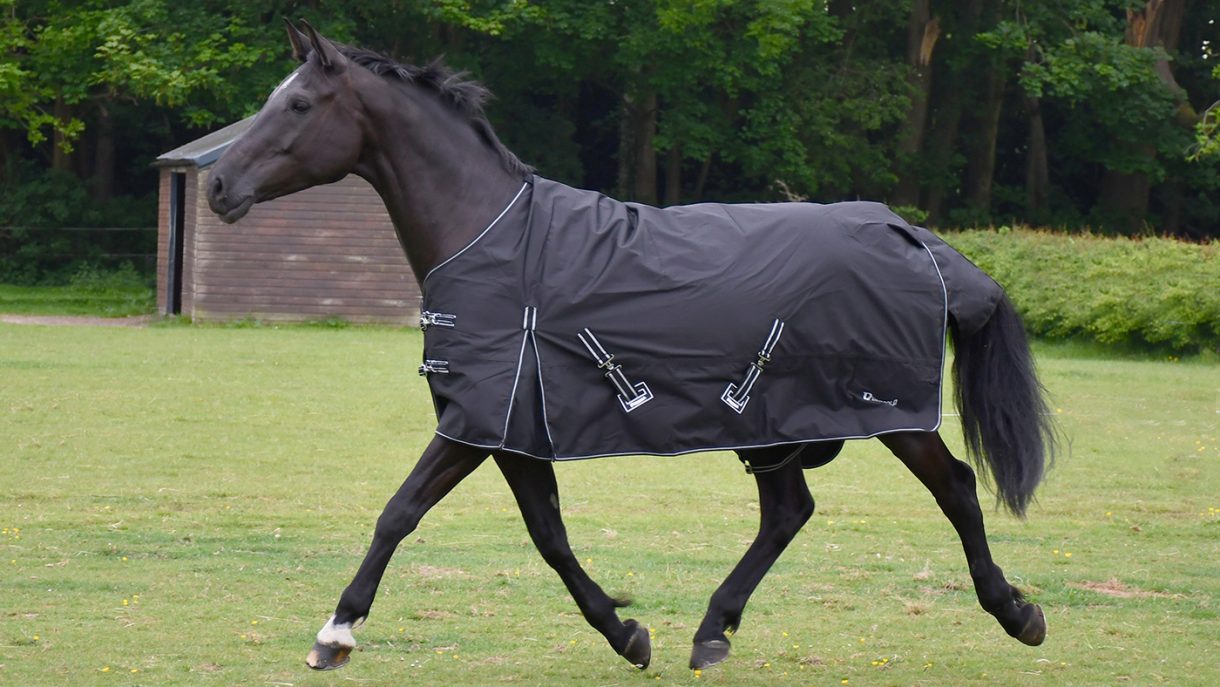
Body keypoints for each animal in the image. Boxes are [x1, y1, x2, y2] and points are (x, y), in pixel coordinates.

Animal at [207, 20, 1056, 673]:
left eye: (299, 103)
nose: (218, 186)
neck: (493, 237)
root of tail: (909, 234)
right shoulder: (514, 432)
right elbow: (548, 535)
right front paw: (627, 633)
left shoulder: (478, 421)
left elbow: (400, 512)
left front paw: (334, 633)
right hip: (777, 425)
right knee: (789, 511)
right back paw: (711, 632)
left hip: (891, 414)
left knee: (956, 487)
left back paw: (1017, 613)